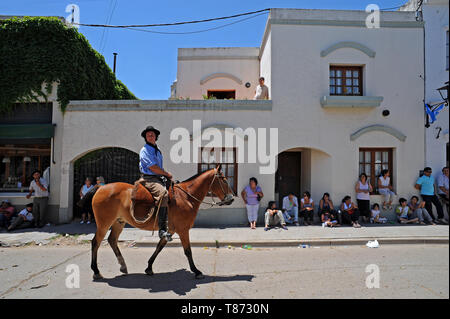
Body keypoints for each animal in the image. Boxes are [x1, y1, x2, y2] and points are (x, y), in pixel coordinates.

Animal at [89, 166, 236, 282]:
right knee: (96, 242)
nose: (231, 198)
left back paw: (123, 266)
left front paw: (149, 267)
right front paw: (197, 271)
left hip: (118, 222)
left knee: (112, 240)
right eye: (223, 179)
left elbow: (159, 247)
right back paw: (96, 271)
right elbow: (188, 251)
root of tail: (101, 188)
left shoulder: (169, 230)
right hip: (104, 224)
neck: (186, 197)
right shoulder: (183, 230)